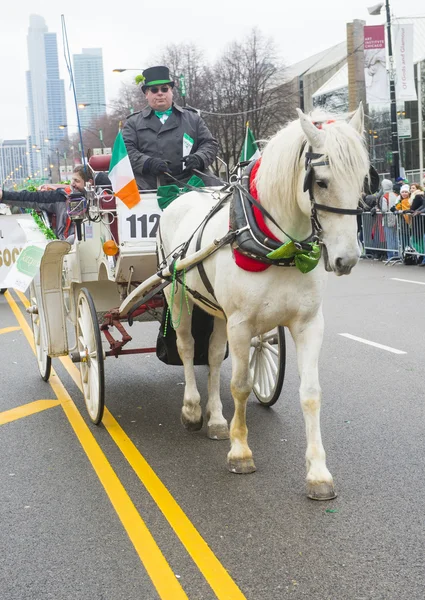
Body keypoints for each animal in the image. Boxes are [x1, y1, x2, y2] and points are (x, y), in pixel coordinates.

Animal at [158, 105, 368, 500]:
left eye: (365, 178)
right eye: (321, 181)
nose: (347, 260)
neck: (280, 247)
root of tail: (182, 193)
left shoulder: (308, 324)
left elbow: (311, 393)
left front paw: (318, 472)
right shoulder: (241, 323)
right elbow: (241, 385)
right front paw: (240, 451)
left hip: (218, 310)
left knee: (212, 354)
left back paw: (216, 419)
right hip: (177, 296)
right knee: (188, 347)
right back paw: (193, 409)